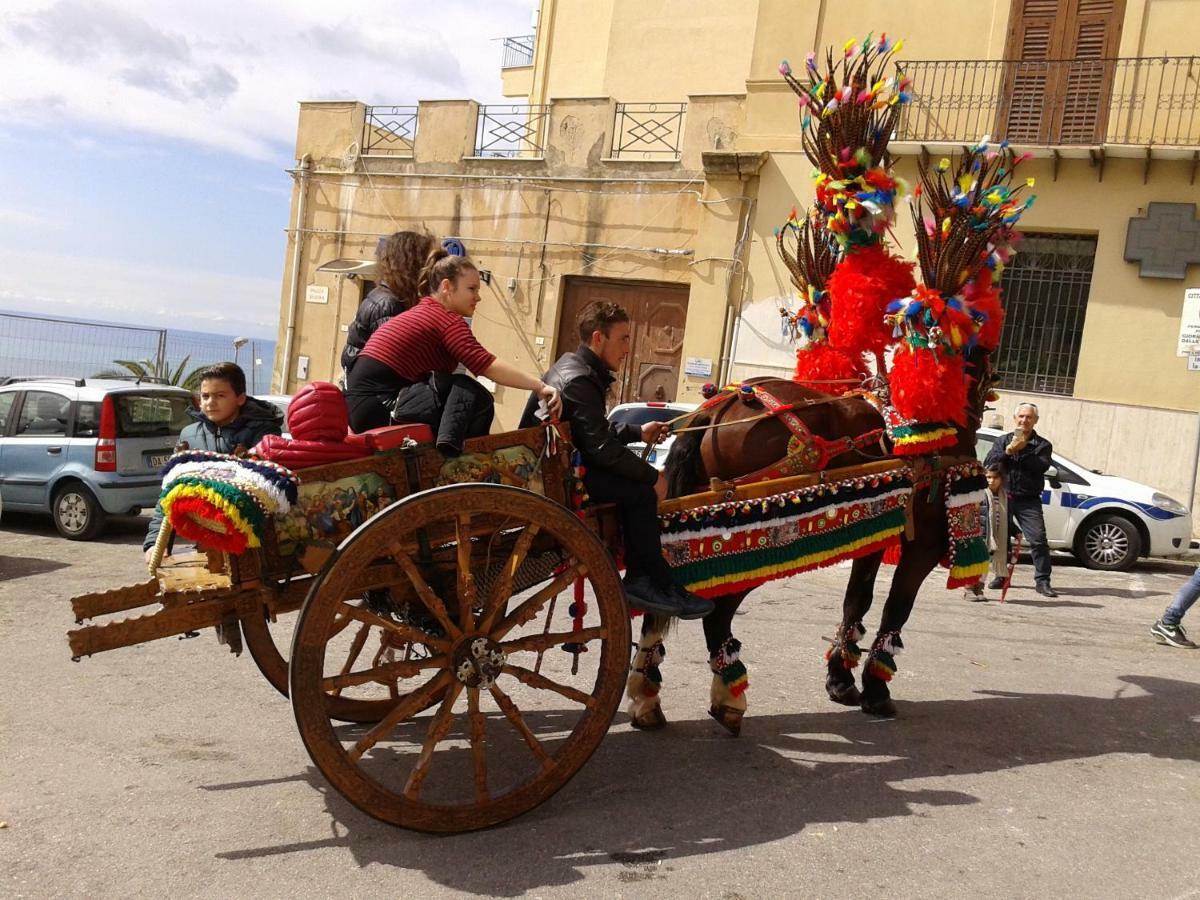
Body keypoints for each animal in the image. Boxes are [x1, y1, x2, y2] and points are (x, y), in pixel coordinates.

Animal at [628, 345, 993, 734]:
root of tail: (715, 412)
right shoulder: (924, 546)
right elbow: (896, 608)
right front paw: (876, 690)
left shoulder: (873, 535)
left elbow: (856, 601)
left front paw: (841, 680)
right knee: (717, 613)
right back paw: (728, 700)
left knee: (659, 604)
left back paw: (646, 699)